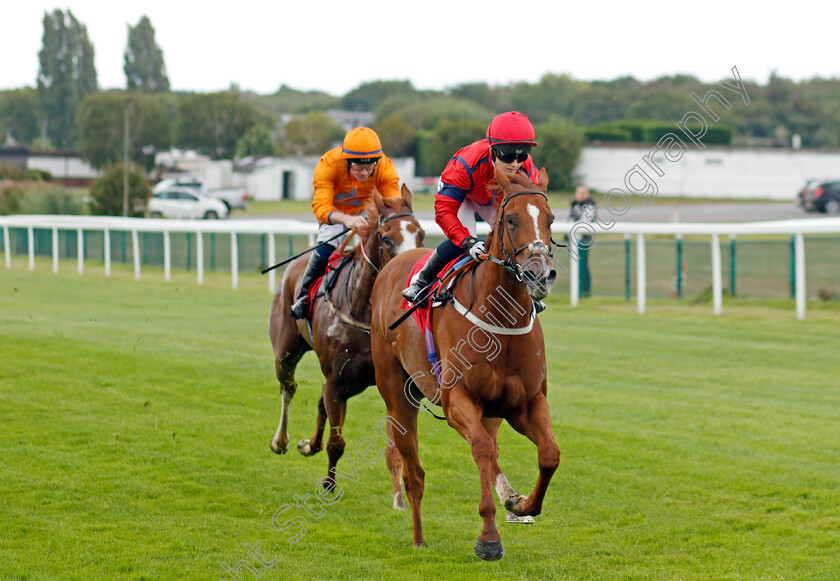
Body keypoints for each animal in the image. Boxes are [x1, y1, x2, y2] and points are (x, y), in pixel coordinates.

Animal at [270, 185, 424, 498]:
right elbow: (336, 442)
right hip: (285, 351)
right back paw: (281, 440)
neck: (362, 309)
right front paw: (329, 484)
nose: (409, 274)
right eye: (386, 238)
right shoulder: (339, 382)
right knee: (288, 386)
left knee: (318, 400)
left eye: (421, 235)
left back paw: (308, 445)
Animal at [370, 165, 560, 560]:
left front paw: (521, 505)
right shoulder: (457, 400)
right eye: (510, 218)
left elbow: (549, 454)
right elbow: (482, 451)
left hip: (491, 411)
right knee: (414, 472)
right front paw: (488, 538)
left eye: (550, 219)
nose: (540, 274)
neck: (502, 323)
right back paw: (418, 536)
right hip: (397, 397)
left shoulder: (527, 403)